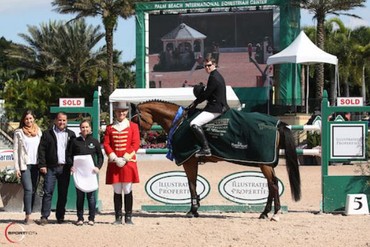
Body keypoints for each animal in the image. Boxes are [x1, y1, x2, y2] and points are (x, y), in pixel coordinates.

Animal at [133, 100, 300, 222]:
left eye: (136, 119)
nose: (139, 139)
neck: (178, 122)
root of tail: (278, 124)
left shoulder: (189, 161)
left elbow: (191, 185)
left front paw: (192, 211)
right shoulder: (192, 161)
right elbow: (193, 184)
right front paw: (195, 209)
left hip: (264, 163)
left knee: (273, 184)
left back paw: (275, 214)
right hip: (265, 163)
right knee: (271, 184)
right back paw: (264, 213)